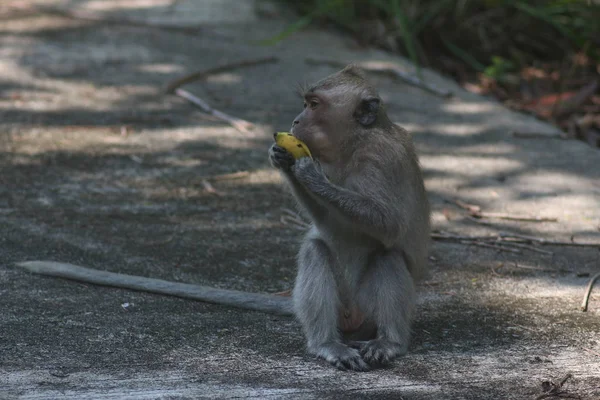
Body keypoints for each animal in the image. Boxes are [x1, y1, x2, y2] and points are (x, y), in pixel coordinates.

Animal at [16, 65, 428, 372]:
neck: (353, 145)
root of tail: (352, 322)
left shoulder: (382, 157)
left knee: (387, 256)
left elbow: (388, 224)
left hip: (367, 311)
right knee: (315, 250)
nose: (295, 121)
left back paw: (388, 341)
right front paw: (284, 161)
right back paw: (326, 343)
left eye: (314, 104)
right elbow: (326, 226)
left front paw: (309, 174)